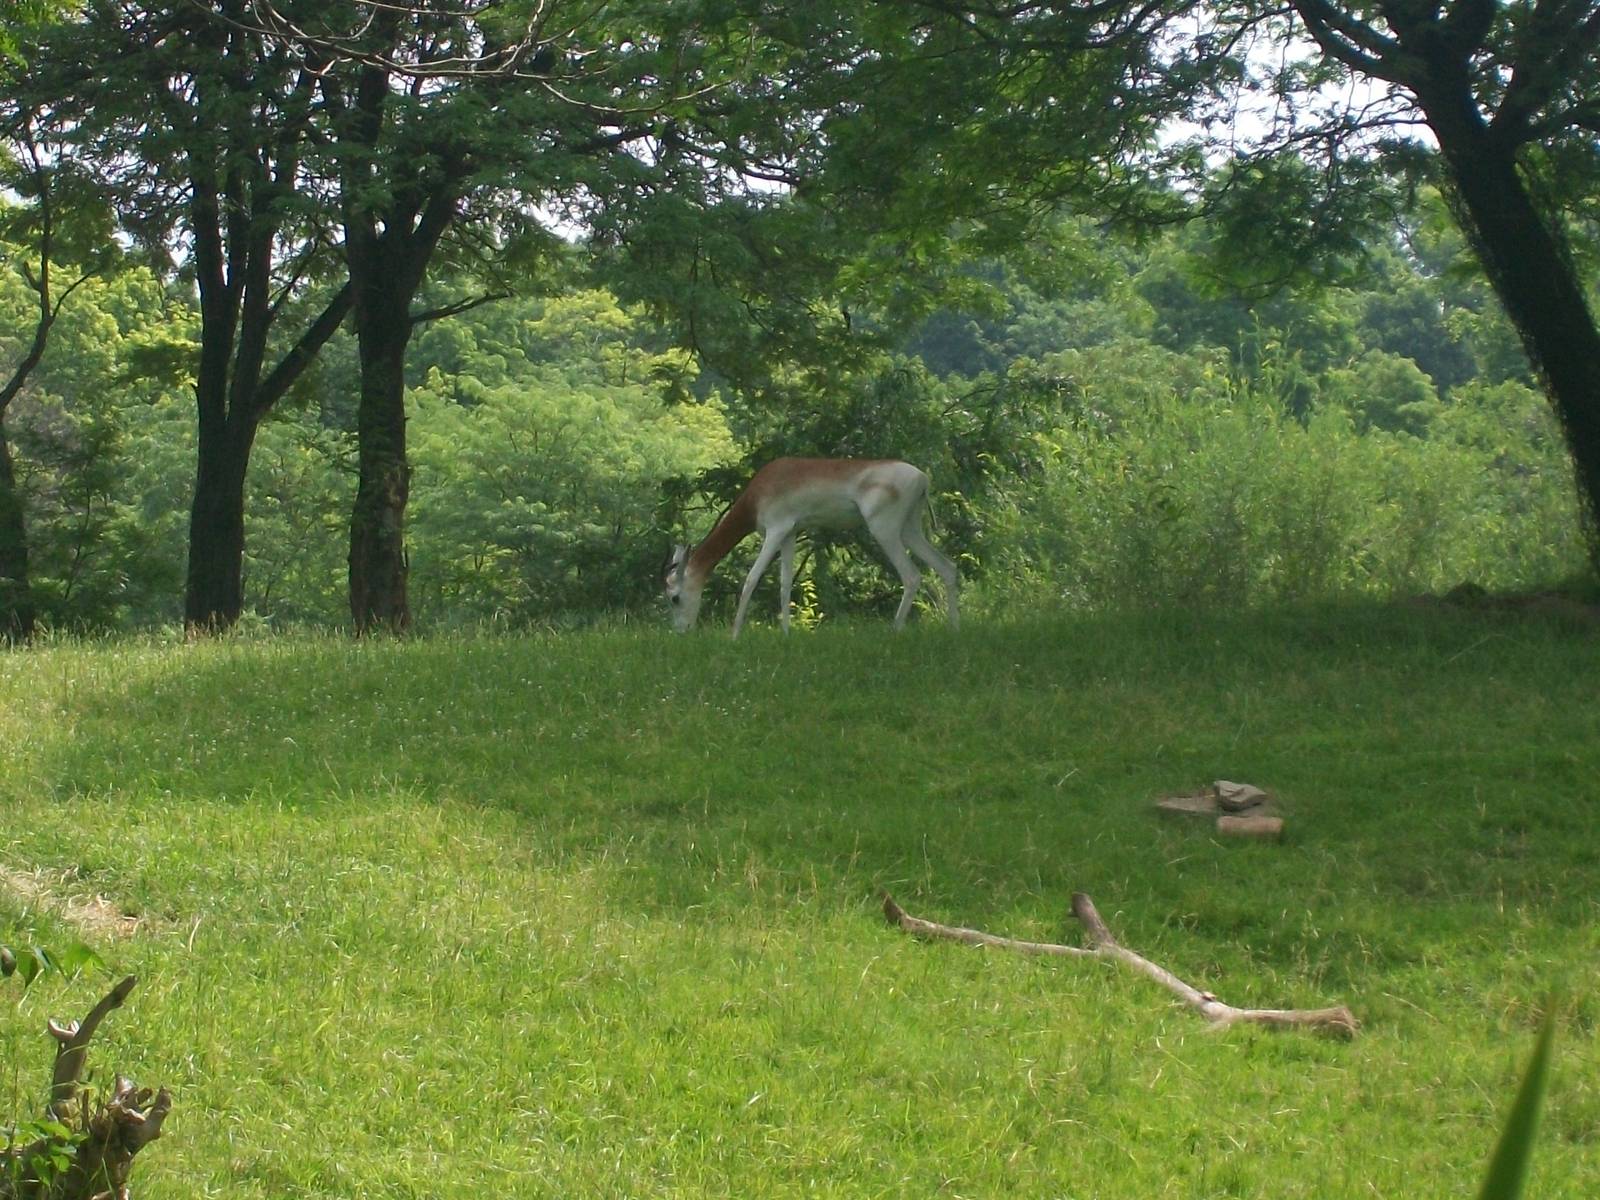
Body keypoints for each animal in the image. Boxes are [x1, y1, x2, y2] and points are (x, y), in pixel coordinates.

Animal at [663, 458, 960, 637]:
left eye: (674, 597)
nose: (681, 632)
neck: (761, 489)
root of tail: (922, 478)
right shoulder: (790, 534)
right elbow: (784, 584)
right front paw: (785, 633)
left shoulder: (776, 530)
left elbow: (751, 579)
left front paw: (734, 635)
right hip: (909, 530)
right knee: (948, 567)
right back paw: (952, 628)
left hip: (884, 529)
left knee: (911, 576)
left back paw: (895, 630)